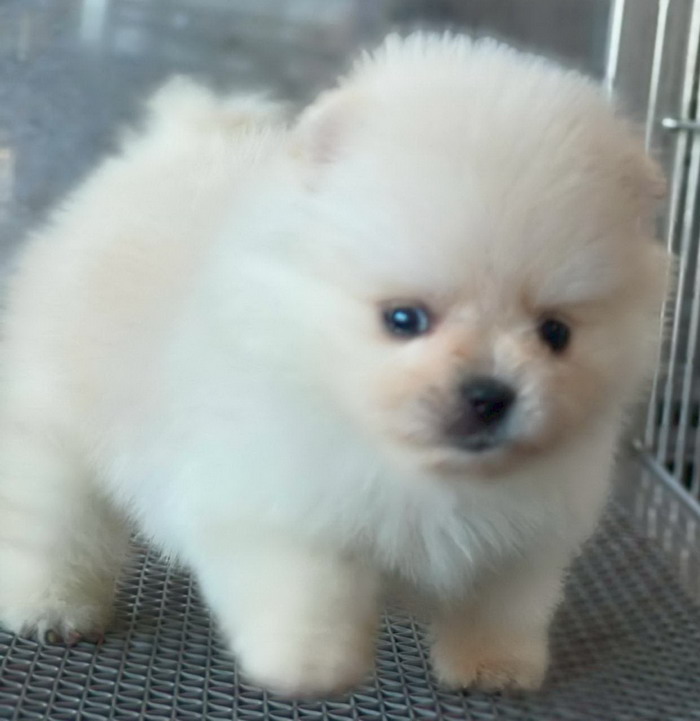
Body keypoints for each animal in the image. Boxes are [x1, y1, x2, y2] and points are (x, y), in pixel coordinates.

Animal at [0, 33, 668, 697]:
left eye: (555, 332)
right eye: (404, 319)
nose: (489, 394)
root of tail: (176, 142)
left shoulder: (525, 539)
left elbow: (500, 604)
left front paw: (494, 666)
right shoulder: (275, 507)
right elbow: (308, 593)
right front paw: (311, 666)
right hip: (57, 432)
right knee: (54, 522)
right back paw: (53, 606)